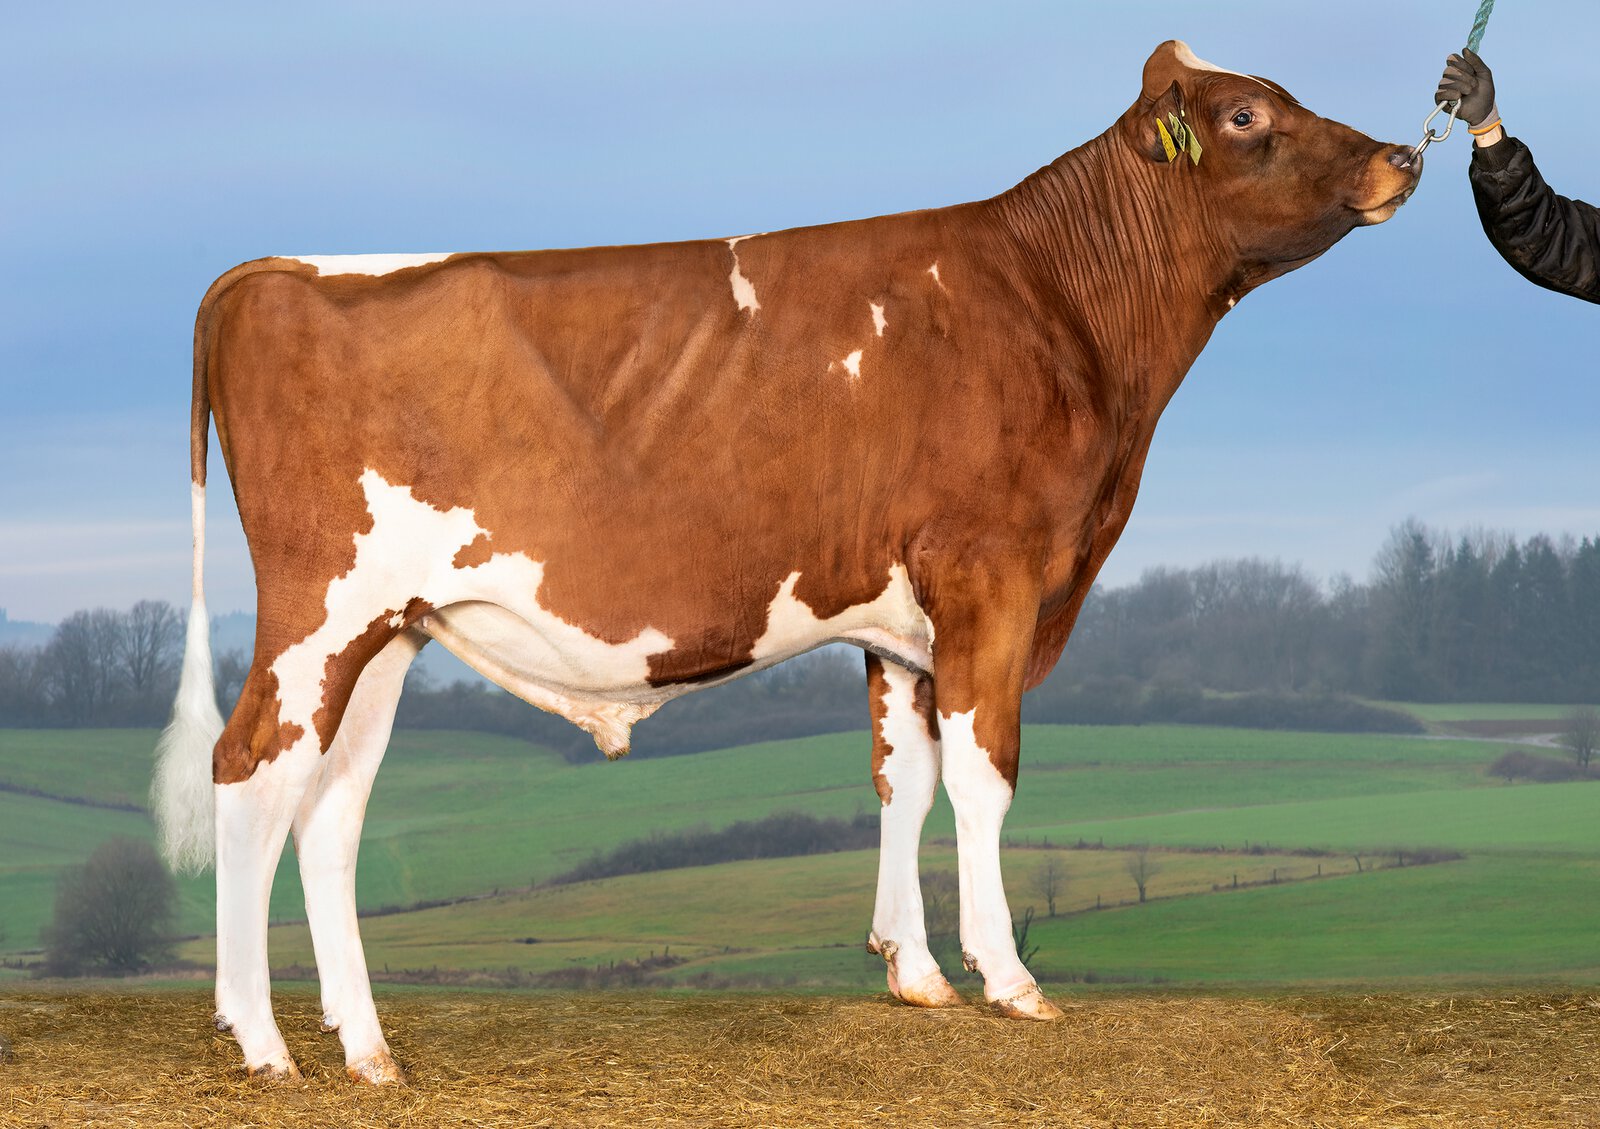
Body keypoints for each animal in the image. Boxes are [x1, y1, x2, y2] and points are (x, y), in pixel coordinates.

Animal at [153, 40, 1420, 1082]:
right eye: (1247, 112)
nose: (1402, 155)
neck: (1056, 306)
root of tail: (280, 270)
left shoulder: (900, 619)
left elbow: (902, 777)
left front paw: (916, 972)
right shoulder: (991, 571)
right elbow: (985, 774)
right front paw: (1007, 979)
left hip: (391, 631)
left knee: (329, 810)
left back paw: (367, 1050)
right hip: (321, 611)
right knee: (248, 767)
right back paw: (262, 1042)